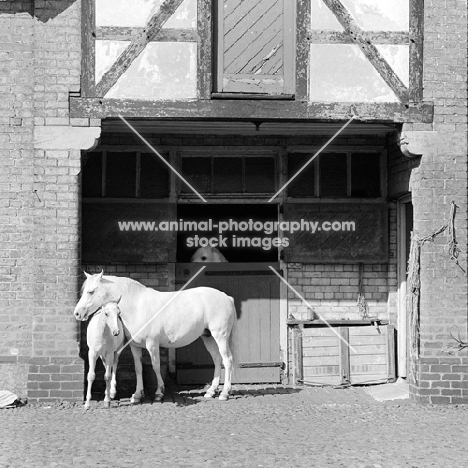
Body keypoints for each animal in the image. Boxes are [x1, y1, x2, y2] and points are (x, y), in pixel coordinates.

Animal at [75, 270, 239, 402]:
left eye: (90, 291)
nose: (77, 313)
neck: (137, 306)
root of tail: (226, 297)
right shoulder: (134, 346)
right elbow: (138, 368)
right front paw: (137, 395)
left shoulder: (152, 344)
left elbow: (156, 366)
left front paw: (159, 393)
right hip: (208, 337)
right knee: (217, 360)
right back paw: (211, 392)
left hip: (220, 336)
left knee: (227, 360)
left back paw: (224, 393)